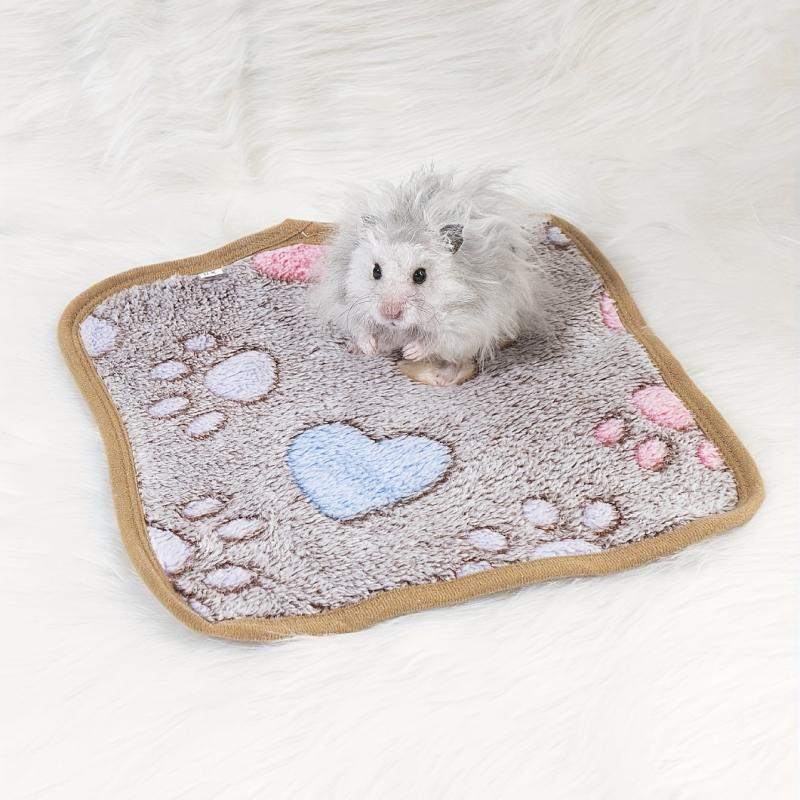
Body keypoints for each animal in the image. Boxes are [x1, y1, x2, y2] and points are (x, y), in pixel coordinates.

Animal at [311, 166, 551, 385]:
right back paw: (355, 349)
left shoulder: (468, 324)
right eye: (375, 271)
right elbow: (360, 328)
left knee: (460, 360)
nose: (390, 314)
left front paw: (410, 351)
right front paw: (370, 347)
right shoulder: (345, 304)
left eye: (420, 275)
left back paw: (444, 377)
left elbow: (437, 339)